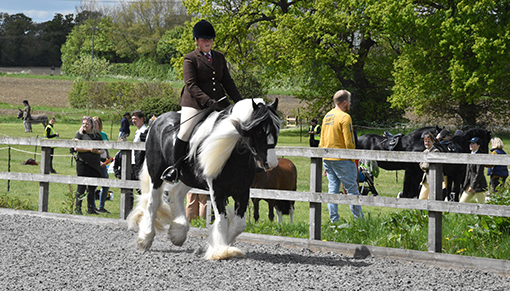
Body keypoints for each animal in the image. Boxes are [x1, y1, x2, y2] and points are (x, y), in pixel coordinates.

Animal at [126, 99, 280, 262]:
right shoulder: (217, 191)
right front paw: (221, 251)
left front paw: (224, 244)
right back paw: (145, 239)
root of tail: (156, 121)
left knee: (176, 193)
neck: (235, 155)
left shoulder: (243, 191)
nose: (272, 164)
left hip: (188, 178)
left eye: (277, 130)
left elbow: (239, 224)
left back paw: (178, 233)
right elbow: (222, 220)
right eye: (259, 131)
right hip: (156, 174)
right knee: (153, 202)